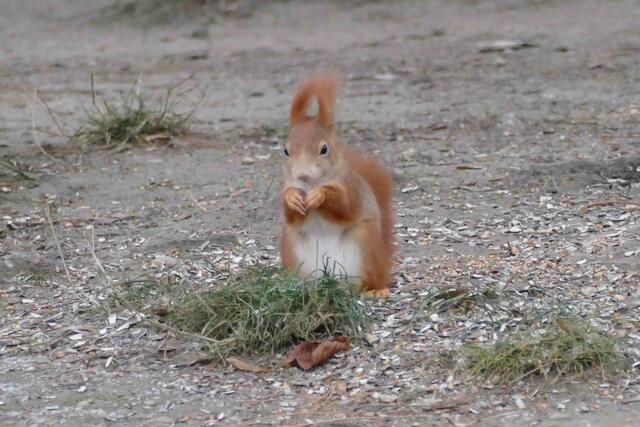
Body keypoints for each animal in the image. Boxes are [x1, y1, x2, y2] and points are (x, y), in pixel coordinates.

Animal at [280, 74, 394, 298]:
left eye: (324, 149)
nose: (302, 174)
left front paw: (320, 196)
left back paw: (374, 291)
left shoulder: (350, 188)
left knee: (364, 283)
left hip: (365, 246)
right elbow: (290, 213)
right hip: (293, 250)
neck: (311, 184)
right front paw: (292, 198)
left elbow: (345, 206)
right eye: (286, 151)